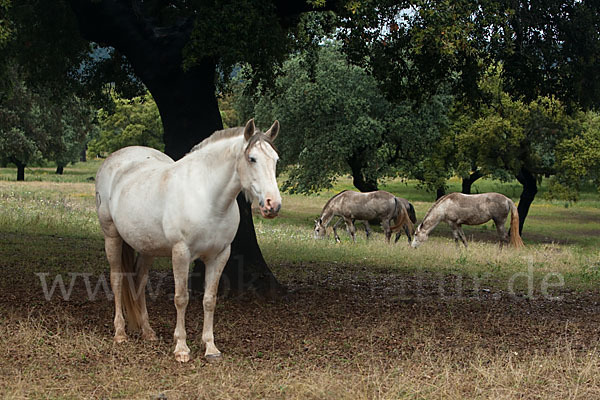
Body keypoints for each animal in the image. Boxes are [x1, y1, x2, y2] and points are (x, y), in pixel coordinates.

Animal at [94, 118, 282, 362]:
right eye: (252, 159)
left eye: (275, 160)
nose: (272, 205)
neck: (207, 196)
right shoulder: (181, 253)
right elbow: (181, 298)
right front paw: (181, 348)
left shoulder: (220, 256)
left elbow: (210, 299)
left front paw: (210, 348)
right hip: (112, 237)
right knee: (117, 280)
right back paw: (120, 333)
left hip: (147, 247)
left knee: (140, 282)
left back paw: (147, 332)